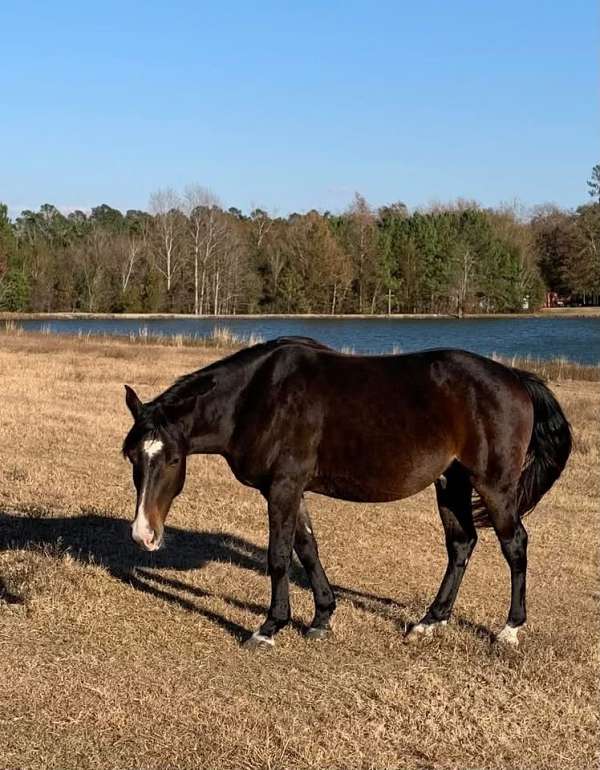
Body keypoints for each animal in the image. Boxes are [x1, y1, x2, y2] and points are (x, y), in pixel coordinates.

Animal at [122, 336, 572, 648]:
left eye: (173, 460)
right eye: (131, 456)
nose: (144, 535)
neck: (258, 396)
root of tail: (515, 378)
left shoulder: (283, 487)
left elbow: (279, 556)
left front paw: (269, 627)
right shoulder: (289, 489)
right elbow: (307, 549)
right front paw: (322, 617)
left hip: (494, 487)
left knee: (514, 545)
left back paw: (509, 629)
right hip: (452, 483)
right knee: (461, 543)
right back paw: (430, 621)